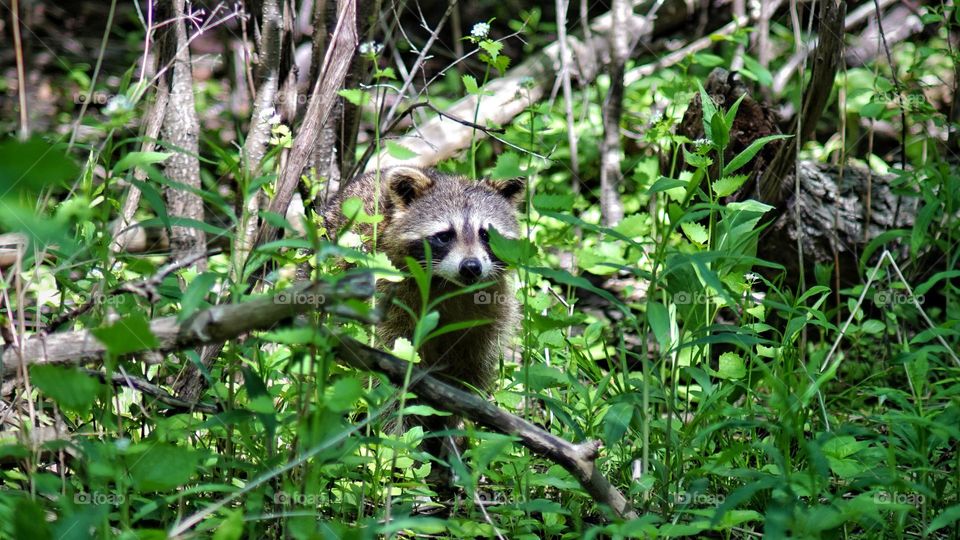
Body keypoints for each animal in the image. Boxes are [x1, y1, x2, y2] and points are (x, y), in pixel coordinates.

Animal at [324, 166, 523, 457]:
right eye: (445, 235)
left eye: (485, 234)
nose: (471, 267)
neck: (449, 286)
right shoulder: (389, 297)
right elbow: (392, 377)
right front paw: (398, 442)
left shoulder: (492, 311)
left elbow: (470, 377)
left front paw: (455, 434)